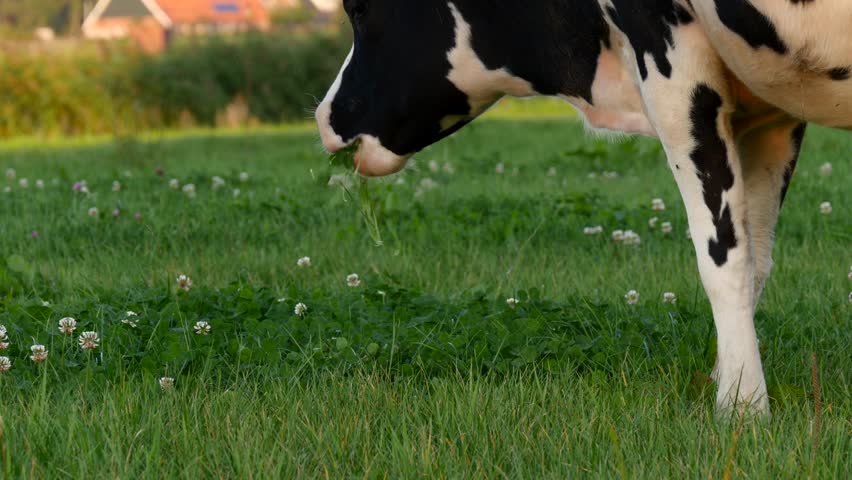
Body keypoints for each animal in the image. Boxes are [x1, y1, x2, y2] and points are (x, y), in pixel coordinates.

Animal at [314, 0, 852, 416]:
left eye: (357, 9)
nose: (324, 117)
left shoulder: (673, 58)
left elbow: (724, 259)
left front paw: (741, 407)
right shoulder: (771, 112)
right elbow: (756, 256)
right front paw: (731, 379)